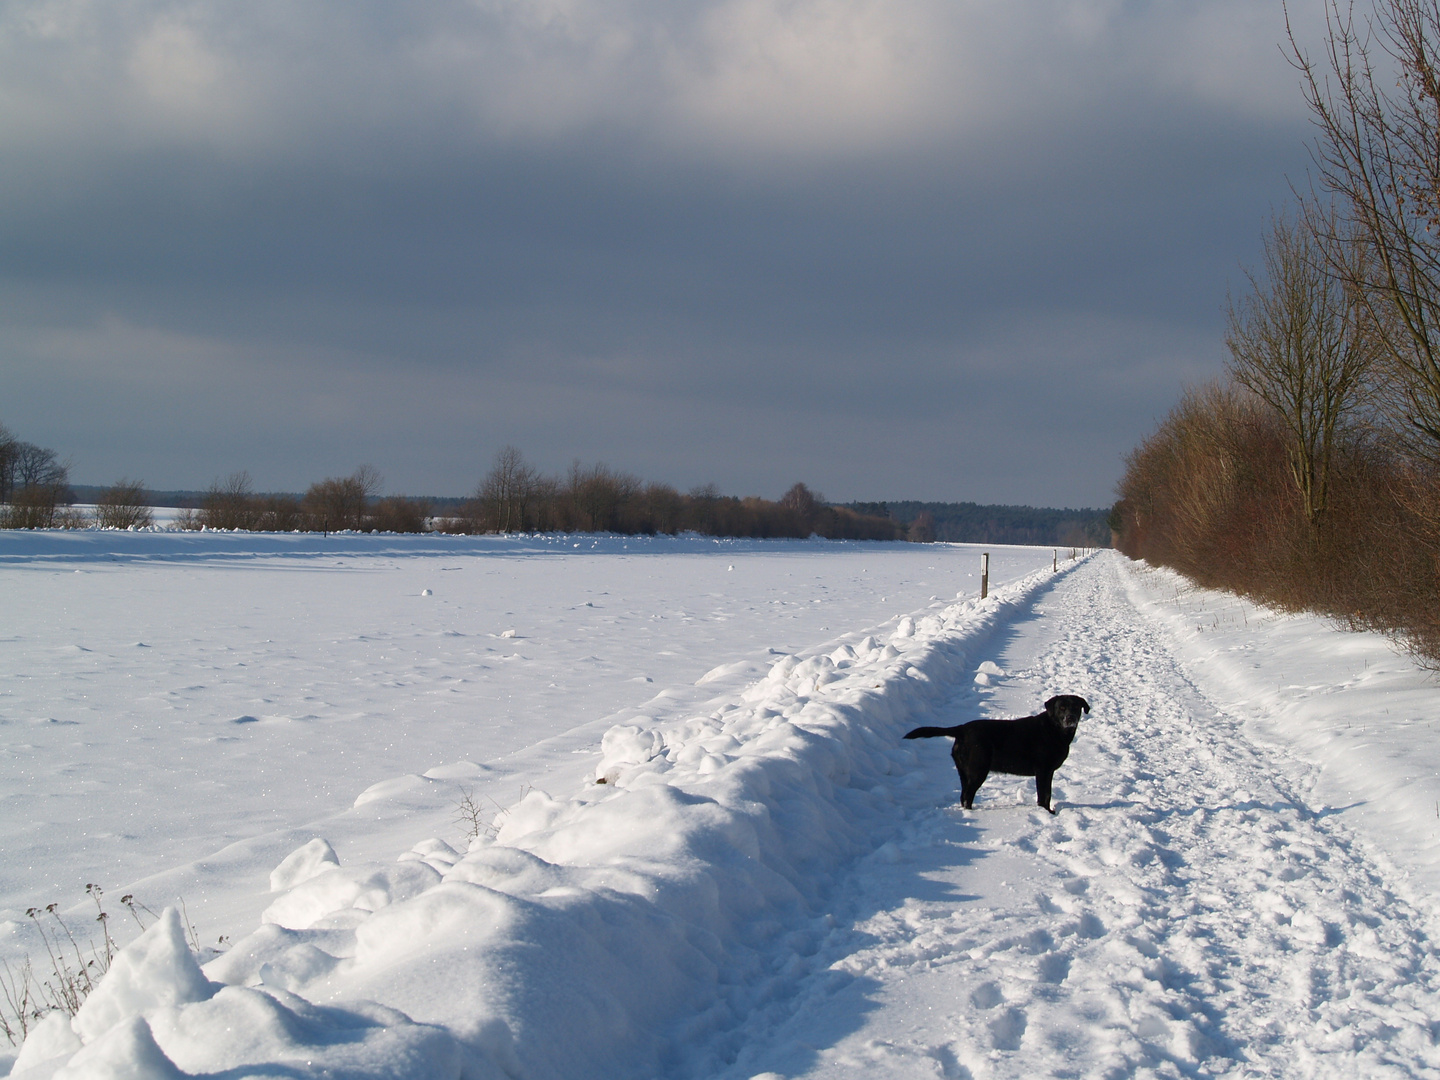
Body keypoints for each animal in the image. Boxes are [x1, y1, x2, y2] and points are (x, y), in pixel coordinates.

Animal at [898, 696, 1088, 817]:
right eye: (1061, 708)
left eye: (1076, 707)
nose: (1070, 718)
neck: (1054, 730)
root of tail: (961, 729)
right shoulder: (1043, 771)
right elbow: (1044, 795)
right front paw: (1047, 813)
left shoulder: (1047, 772)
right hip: (978, 770)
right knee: (967, 796)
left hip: (964, 772)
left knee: (963, 796)